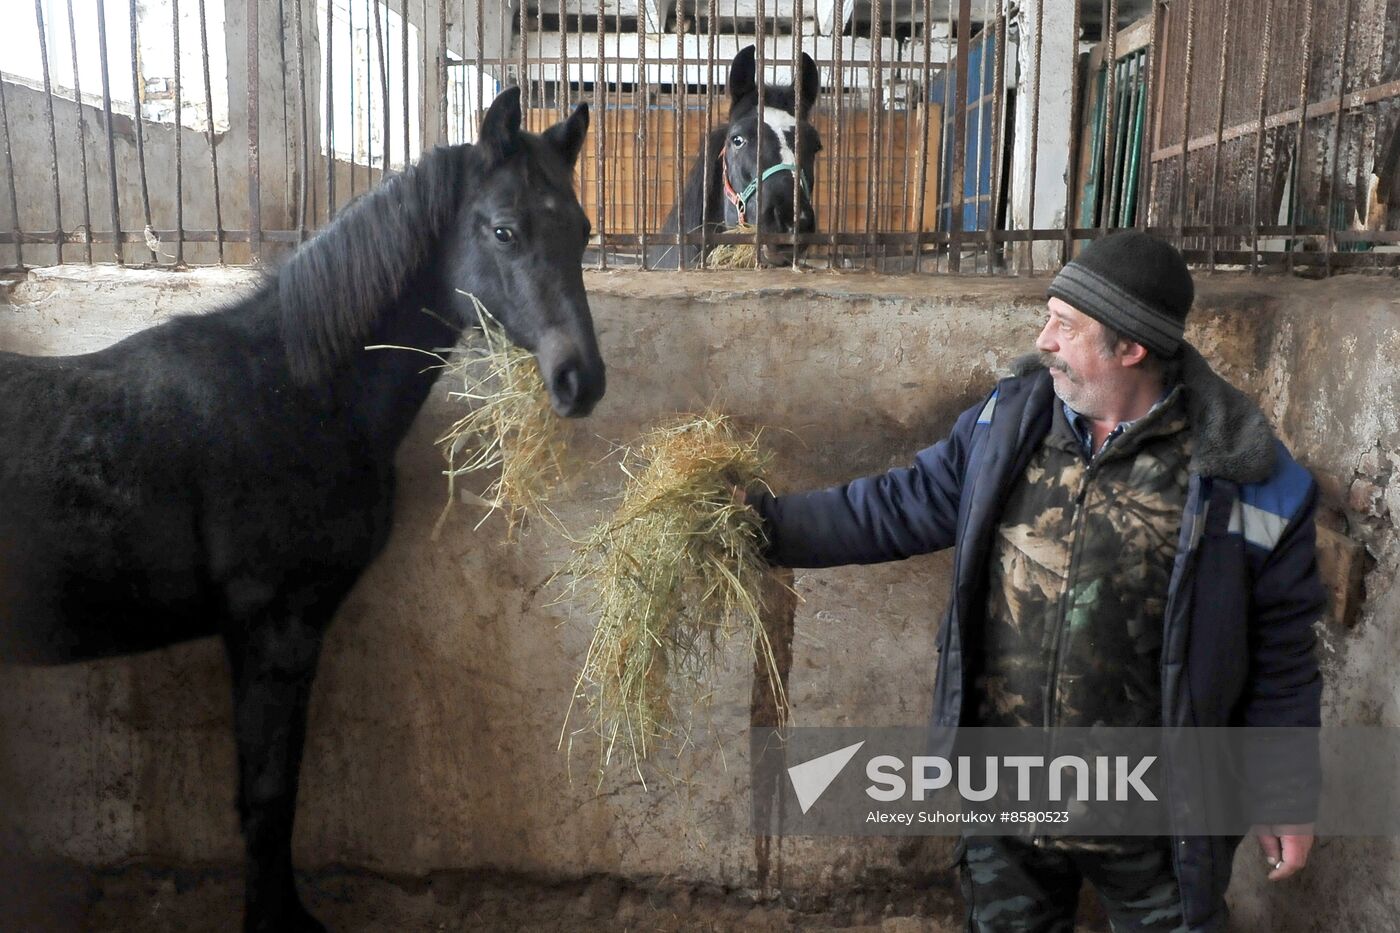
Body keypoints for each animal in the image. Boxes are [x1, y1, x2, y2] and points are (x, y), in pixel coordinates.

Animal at [0, 85, 602, 924]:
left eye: (582, 230)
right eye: (504, 229)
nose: (582, 378)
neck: (295, 391)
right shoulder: (275, 627)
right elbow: (269, 795)